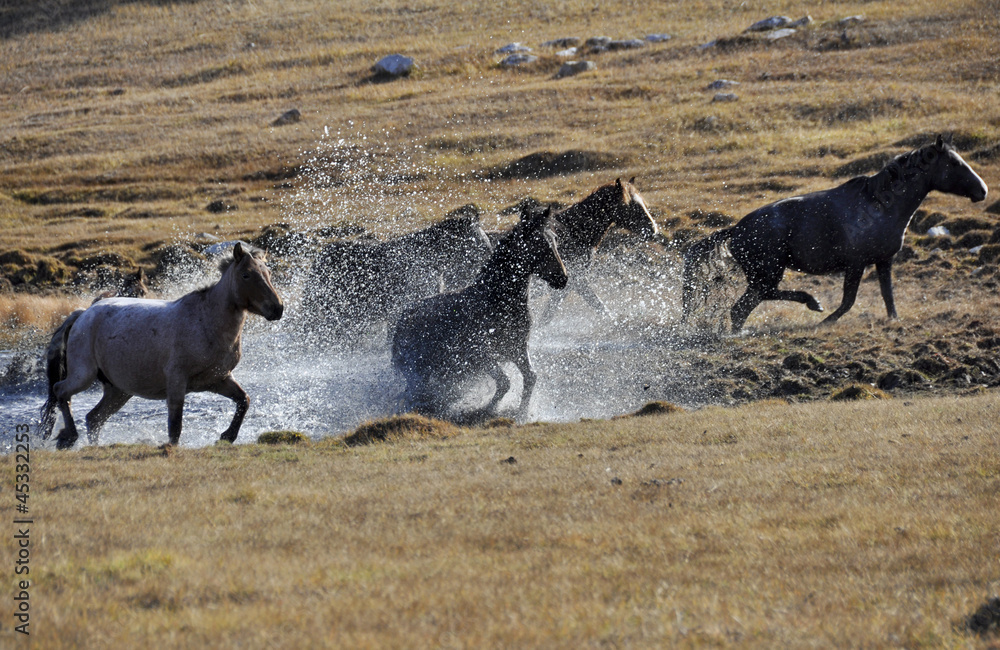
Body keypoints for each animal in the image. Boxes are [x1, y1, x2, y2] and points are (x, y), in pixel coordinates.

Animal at [39, 243, 283, 449]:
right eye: (246, 275)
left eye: (268, 273)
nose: (277, 308)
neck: (206, 322)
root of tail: (83, 314)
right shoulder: (177, 381)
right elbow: (175, 426)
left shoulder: (219, 379)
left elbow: (244, 401)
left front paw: (226, 437)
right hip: (84, 375)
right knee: (61, 391)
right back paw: (68, 437)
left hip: (118, 390)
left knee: (94, 418)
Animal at [391, 207, 568, 424]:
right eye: (539, 244)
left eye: (554, 240)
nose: (563, 279)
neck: (497, 302)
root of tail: (402, 318)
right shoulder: (481, 355)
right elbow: (505, 382)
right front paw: (488, 411)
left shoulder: (517, 347)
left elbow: (530, 377)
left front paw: (522, 414)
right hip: (418, 371)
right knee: (414, 394)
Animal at [682, 136, 988, 332]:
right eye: (955, 164)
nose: (982, 191)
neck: (881, 205)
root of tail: (736, 230)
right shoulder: (856, 264)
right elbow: (848, 302)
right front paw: (824, 321)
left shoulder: (883, 261)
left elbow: (888, 296)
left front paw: (894, 322)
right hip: (767, 274)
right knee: (747, 304)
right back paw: (812, 303)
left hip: (764, 276)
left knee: (742, 309)